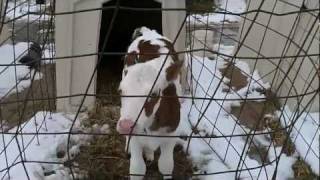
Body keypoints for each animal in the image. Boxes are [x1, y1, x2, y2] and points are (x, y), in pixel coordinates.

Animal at [116, 27, 184, 180]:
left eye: (153, 94)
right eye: (121, 91)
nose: (126, 126)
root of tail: (149, 32)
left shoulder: (171, 136)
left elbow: (166, 165)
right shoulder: (136, 138)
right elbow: (137, 169)